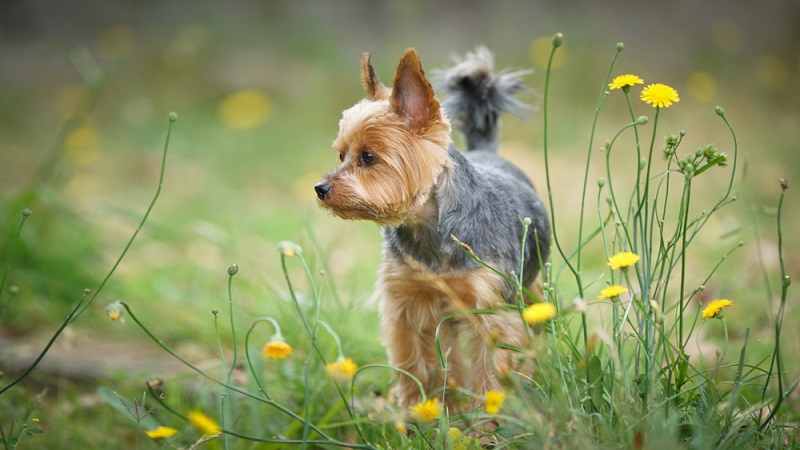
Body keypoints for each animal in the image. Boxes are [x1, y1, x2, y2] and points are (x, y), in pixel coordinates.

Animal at [312, 47, 552, 410]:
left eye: (368, 157)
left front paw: (489, 420)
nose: (320, 188)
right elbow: (418, 365)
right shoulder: (409, 307)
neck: (430, 229)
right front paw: (419, 411)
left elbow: (492, 376)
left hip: (531, 289)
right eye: (341, 155)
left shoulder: (491, 309)